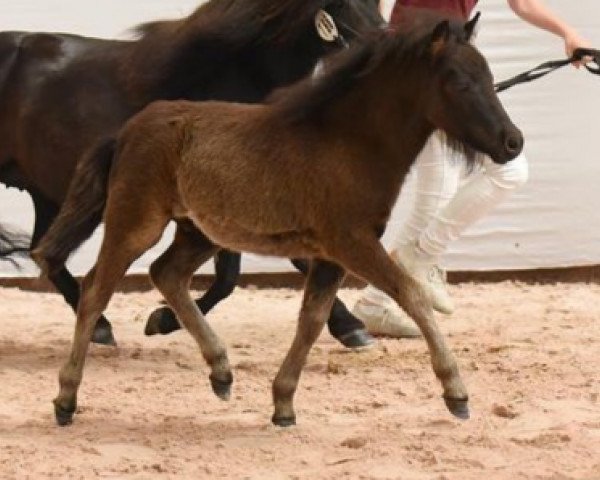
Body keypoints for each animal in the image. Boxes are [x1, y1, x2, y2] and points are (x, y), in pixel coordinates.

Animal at [0, 0, 382, 346]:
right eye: (343, 3)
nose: (380, 45)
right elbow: (237, 274)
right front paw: (164, 319)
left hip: (47, 193)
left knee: (42, 251)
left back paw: (99, 327)